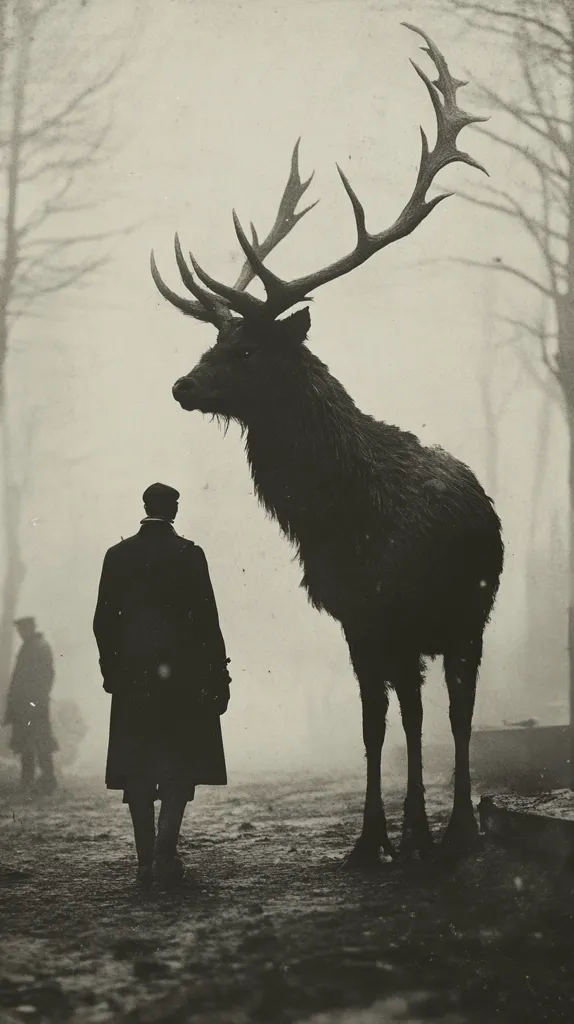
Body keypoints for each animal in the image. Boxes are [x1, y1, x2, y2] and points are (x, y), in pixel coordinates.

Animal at [150, 24, 504, 867]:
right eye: (215, 342)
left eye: (246, 351)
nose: (181, 386)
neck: (342, 521)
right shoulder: (354, 619)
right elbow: (373, 728)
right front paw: (371, 841)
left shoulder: (398, 612)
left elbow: (411, 722)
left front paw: (413, 837)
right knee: (426, 713)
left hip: (471, 615)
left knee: (460, 712)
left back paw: (460, 829)